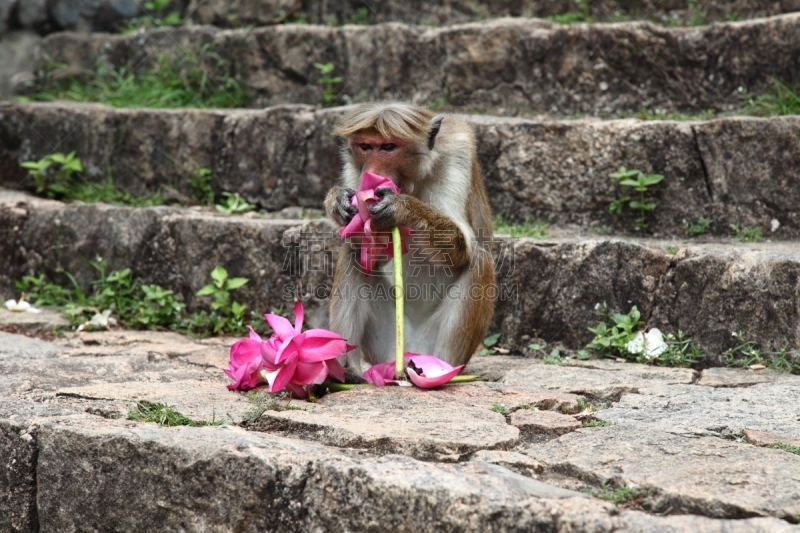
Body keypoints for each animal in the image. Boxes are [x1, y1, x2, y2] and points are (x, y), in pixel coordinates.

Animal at [324, 102, 494, 372]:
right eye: (366, 146)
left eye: (388, 147)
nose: (371, 172)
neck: (413, 181)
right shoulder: (353, 168)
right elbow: (366, 246)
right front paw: (337, 200)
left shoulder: (458, 155)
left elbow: (463, 247)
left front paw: (402, 207)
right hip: (384, 346)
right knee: (354, 254)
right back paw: (346, 370)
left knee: (479, 260)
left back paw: (443, 373)